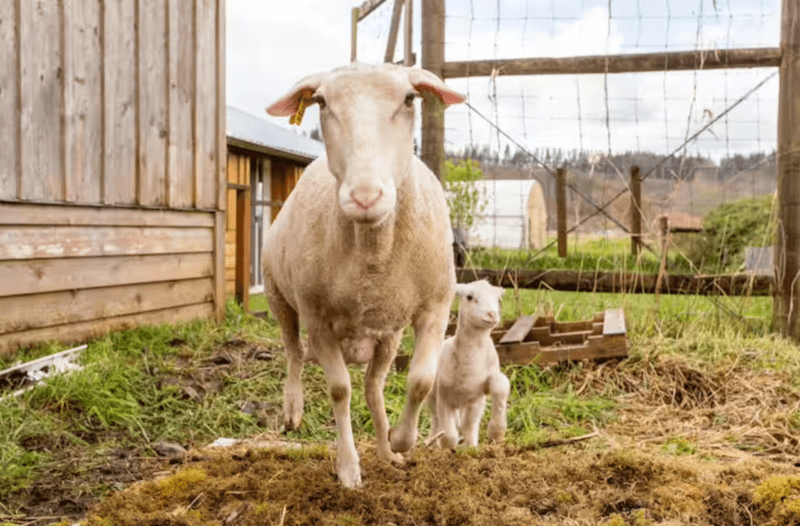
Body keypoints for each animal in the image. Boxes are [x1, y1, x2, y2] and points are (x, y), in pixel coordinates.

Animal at [263, 63, 466, 488]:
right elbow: (340, 391)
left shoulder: (436, 306)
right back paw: (293, 409)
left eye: (409, 99)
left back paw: (388, 450)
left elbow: (421, 380)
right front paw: (349, 469)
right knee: (294, 351)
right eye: (322, 102)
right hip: (279, 296)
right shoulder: (317, 317)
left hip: (387, 333)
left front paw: (401, 440)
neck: (375, 250)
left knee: (374, 386)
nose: (365, 197)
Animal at [428, 280, 510, 449]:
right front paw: (448, 448)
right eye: (469, 297)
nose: (492, 314)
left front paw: (496, 432)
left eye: (497, 298)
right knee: (436, 421)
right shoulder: (443, 396)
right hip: (432, 398)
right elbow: (449, 434)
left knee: (466, 424)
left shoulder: (477, 395)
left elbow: (500, 384)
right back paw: (432, 444)